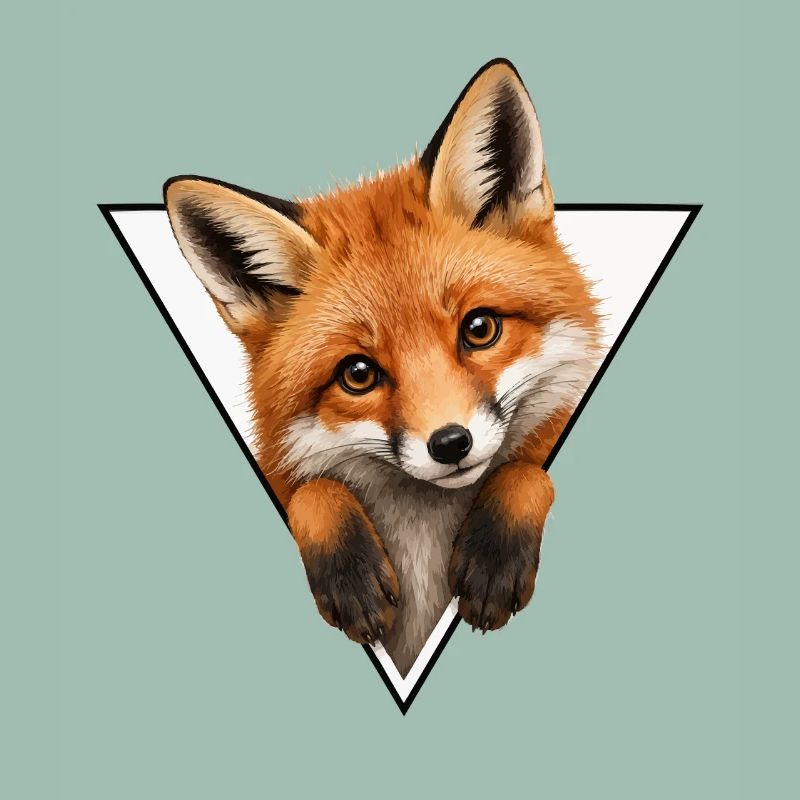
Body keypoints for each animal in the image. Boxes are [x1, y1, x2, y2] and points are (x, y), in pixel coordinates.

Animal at [164, 59, 602, 677]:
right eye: (358, 374)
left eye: (479, 329)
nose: (451, 444)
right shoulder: (284, 472)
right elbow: (311, 492)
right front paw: (349, 571)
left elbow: (528, 471)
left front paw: (494, 553)